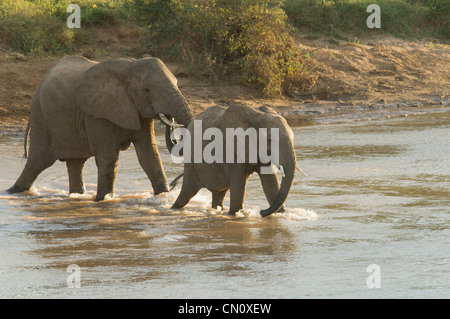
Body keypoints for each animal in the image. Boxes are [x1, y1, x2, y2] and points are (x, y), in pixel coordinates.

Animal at [7, 55, 193, 200]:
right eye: (147, 90)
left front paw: (162, 196)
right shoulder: (96, 113)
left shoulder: (140, 113)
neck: (129, 67)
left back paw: (77, 195)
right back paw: (12, 192)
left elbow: (149, 154)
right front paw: (103, 200)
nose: (171, 120)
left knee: (75, 163)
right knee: (37, 161)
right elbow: (108, 157)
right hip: (40, 116)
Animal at [171, 104, 304, 218]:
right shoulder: (228, 149)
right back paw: (173, 209)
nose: (261, 211)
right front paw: (236, 214)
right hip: (191, 162)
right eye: (270, 139)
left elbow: (270, 181)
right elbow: (238, 182)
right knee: (187, 193)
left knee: (218, 195)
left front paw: (281, 213)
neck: (256, 116)